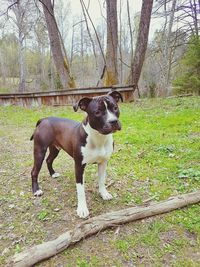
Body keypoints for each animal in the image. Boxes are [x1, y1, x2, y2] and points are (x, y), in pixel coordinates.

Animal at [30, 91, 122, 219]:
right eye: (97, 112)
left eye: (115, 108)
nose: (113, 121)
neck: (98, 137)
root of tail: (43, 119)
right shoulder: (79, 166)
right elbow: (80, 190)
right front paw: (82, 209)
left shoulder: (103, 163)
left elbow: (102, 180)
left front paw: (104, 194)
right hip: (39, 150)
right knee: (34, 171)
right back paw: (36, 190)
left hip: (55, 148)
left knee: (49, 160)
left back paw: (53, 174)